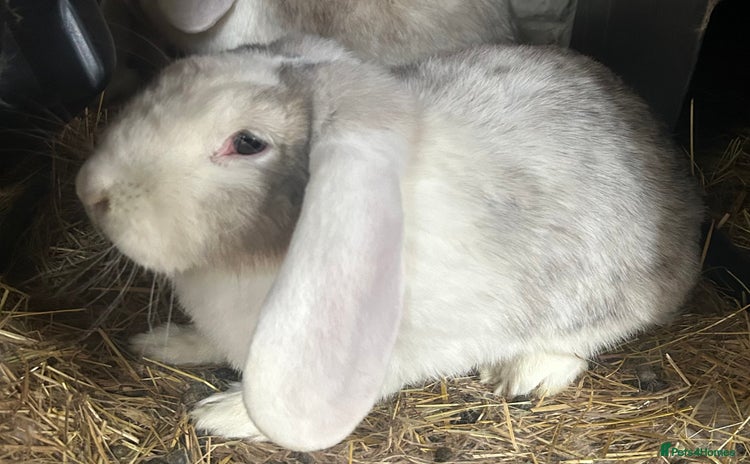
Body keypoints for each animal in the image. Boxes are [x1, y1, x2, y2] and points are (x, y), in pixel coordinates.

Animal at [75, 35, 703, 451]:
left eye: (247, 143)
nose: (89, 190)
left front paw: (223, 415)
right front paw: (162, 343)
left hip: (598, 302)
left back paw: (521, 374)